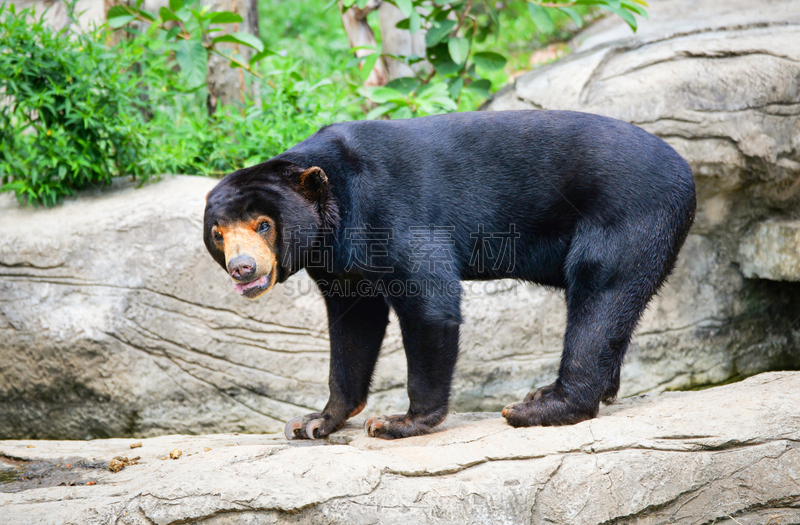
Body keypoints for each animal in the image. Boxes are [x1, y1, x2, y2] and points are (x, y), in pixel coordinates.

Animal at [203, 109, 696, 438]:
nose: (243, 268)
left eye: (263, 225)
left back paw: (539, 407)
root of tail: (687, 174)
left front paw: (398, 421)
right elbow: (354, 324)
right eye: (218, 233)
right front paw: (313, 421)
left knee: (600, 293)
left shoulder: (392, 212)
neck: (338, 204)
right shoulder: (340, 263)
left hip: (626, 216)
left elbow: (429, 303)